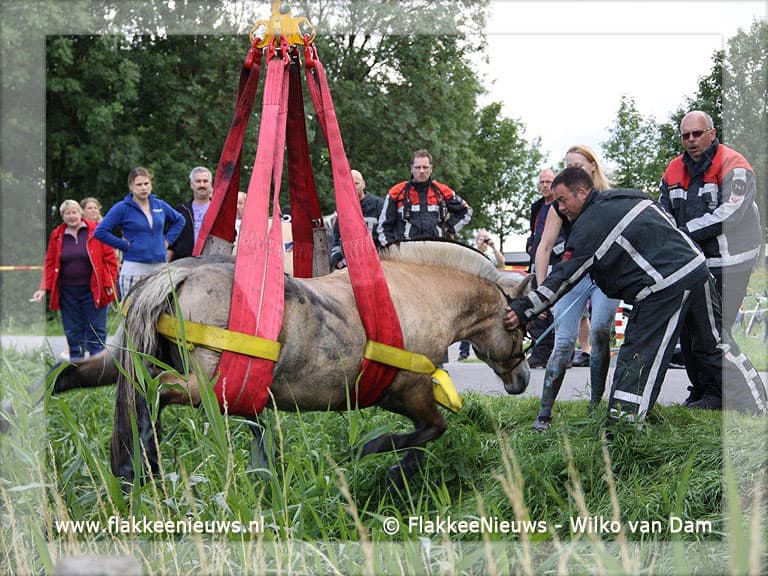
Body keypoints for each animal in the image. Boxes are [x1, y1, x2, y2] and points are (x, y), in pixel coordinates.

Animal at [49, 241, 532, 485]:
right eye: (519, 326)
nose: (523, 378)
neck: (420, 294)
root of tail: (180, 272)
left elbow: (427, 432)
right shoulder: (407, 391)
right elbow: (432, 429)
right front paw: (380, 453)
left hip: (129, 354)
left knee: (79, 375)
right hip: (207, 386)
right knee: (155, 394)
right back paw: (144, 457)